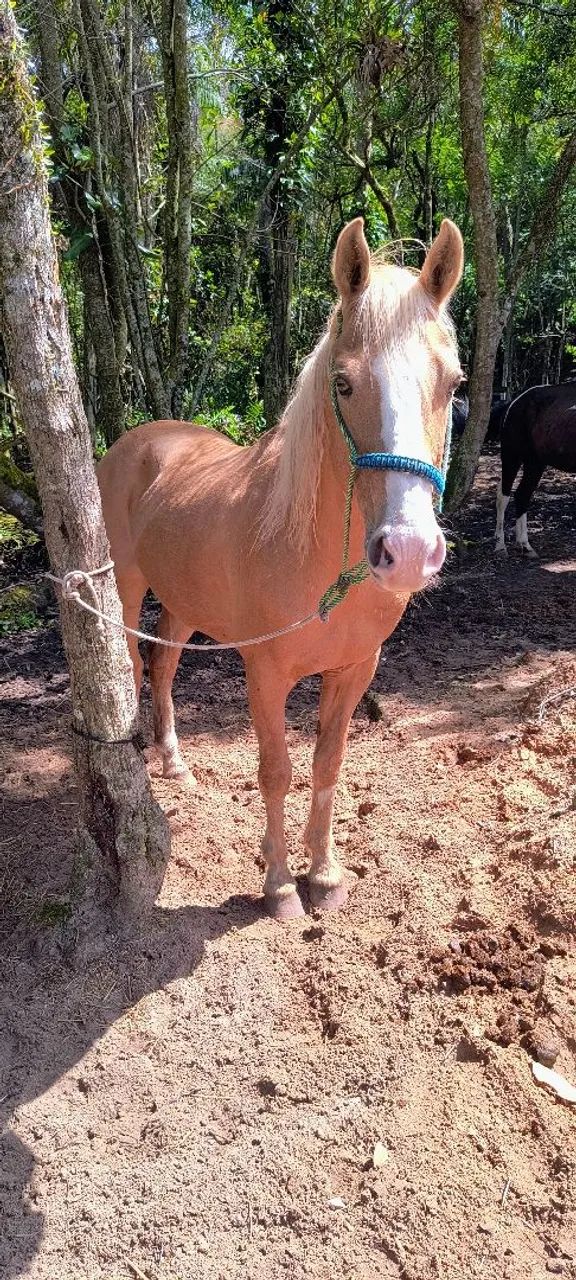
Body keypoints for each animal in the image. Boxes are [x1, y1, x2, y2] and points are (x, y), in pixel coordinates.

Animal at [98, 217, 464, 920]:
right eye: (343, 383)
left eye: (454, 383)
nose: (407, 550)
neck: (318, 566)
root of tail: (138, 440)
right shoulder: (264, 673)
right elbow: (276, 771)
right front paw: (278, 885)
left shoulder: (354, 670)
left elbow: (327, 766)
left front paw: (323, 875)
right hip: (127, 590)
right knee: (132, 661)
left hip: (182, 605)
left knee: (164, 667)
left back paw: (176, 763)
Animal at [495, 383, 576, 555]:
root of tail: (513, 403)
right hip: (512, 456)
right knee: (503, 496)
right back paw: (500, 545)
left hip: (535, 462)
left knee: (522, 494)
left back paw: (524, 545)